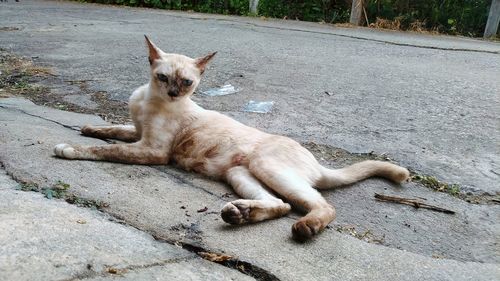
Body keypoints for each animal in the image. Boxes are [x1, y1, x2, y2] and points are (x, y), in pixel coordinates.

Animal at [53, 35, 410, 241]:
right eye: (163, 77)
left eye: (187, 83)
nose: (173, 93)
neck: (150, 100)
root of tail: (316, 162)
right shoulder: (138, 133)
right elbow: (112, 130)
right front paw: (89, 128)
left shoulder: (153, 150)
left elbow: (106, 150)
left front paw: (69, 147)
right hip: (240, 174)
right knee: (280, 204)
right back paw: (240, 214)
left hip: (266, 166)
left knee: (320, 205)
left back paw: (305, 228)